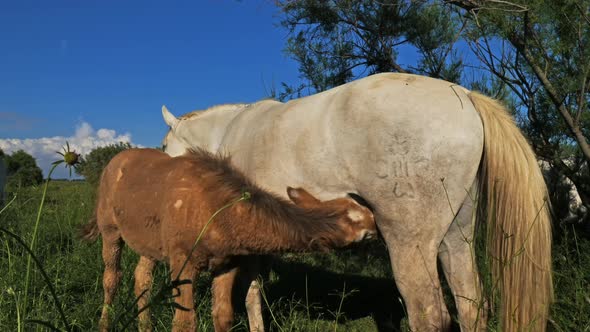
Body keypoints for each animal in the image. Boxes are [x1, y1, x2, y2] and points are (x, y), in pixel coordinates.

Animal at [162, 73, 556, 332]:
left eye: (165, 147)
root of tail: (466, 97)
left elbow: (249, 294)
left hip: (409, 245)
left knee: (429, 316)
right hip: (456, 237)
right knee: (471, 307)